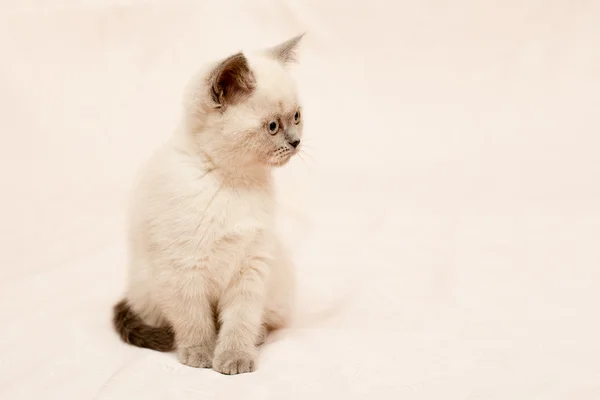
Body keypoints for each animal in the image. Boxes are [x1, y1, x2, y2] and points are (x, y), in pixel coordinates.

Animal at [113, 34, 304, 376]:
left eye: (297, 116)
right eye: (272, 126)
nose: (296, 142)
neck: (232, 182)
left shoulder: (251, 265)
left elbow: (239, 320)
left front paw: (235, 357)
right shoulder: (182, 269)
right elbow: (195, 320)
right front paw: (199, 354)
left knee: (263, 321)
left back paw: (258, 337)